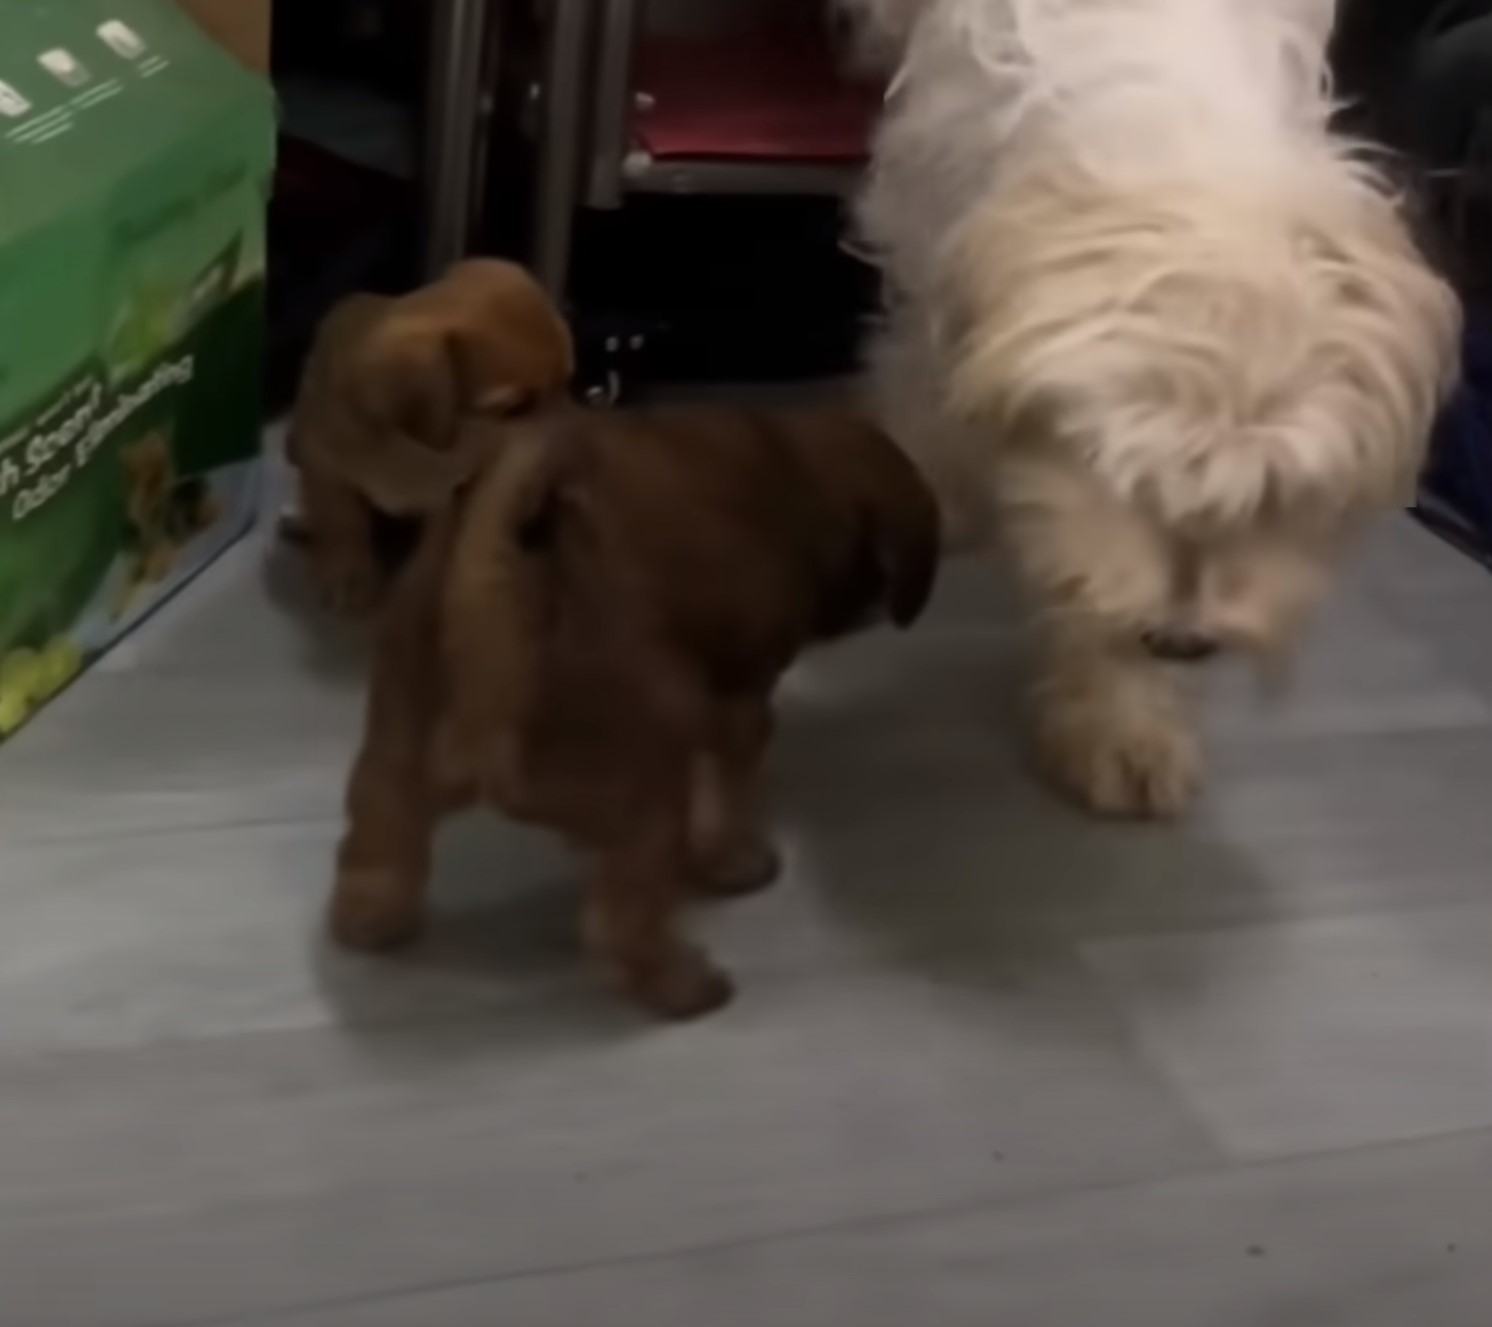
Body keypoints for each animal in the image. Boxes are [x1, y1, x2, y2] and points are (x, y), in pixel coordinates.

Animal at [286, 256, 575, 614]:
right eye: (516, 408)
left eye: (569, 381)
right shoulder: (323, 464)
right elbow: (341, 521)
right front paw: (347, 575)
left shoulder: (446, 504)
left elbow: (428, 563)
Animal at [335, 400, 942, 1015]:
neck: (789, 466)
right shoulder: (736, 701)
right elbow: (729, 781)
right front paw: (733, 858)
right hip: (648, 800)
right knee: (621, 921)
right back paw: (685, 986)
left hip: (397, 753)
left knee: (379, 838)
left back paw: (371, 916)